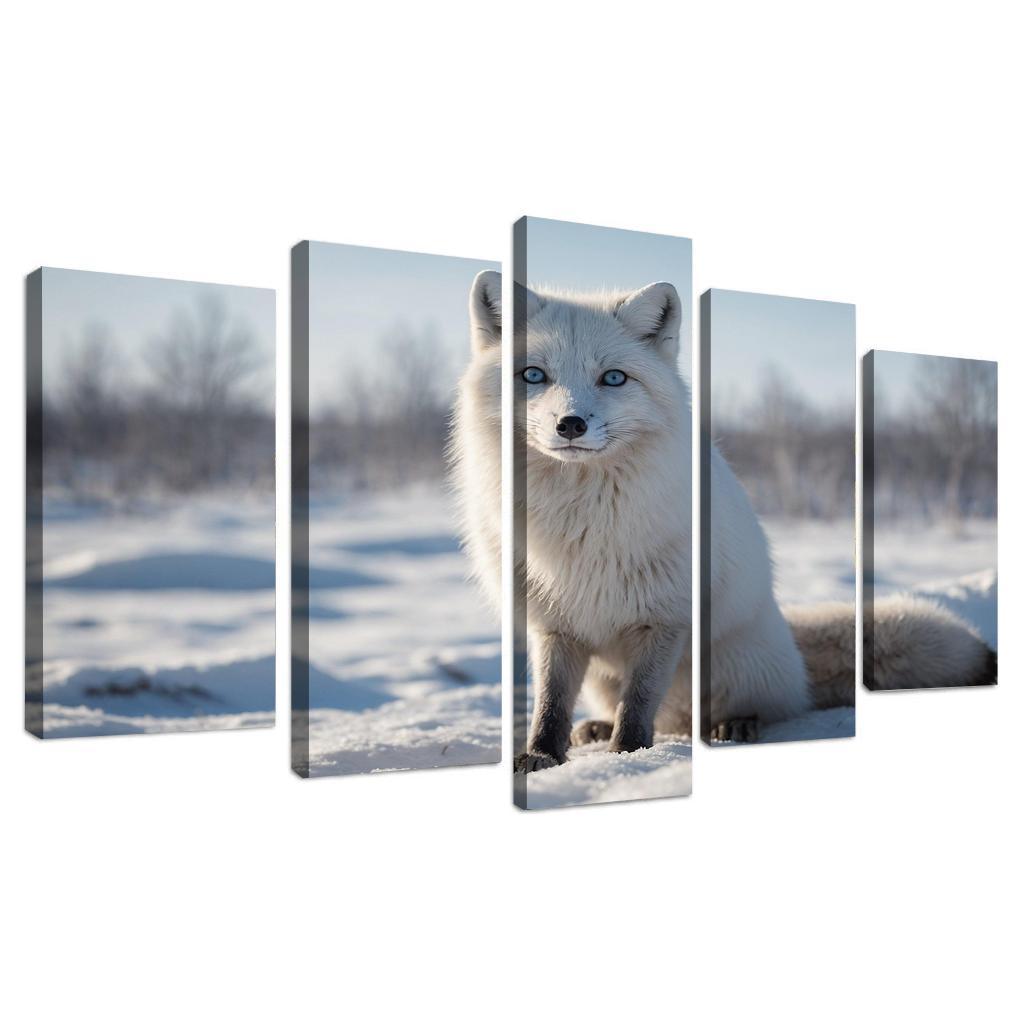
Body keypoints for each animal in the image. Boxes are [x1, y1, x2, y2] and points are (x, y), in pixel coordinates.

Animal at [451, 270, 996, 771]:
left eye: (613, 378)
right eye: (533, 375)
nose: (571, 425)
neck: (577, 517)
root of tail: (784, 632)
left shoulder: (664, 615)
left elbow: (639, 702)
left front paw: (628, 756)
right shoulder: (553, 623)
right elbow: (551, 703)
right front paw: (542, 756)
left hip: (731, 665)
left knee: (752, 710)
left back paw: (732, 724)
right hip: (604, 678)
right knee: (657, 715)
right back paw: (598, 729)